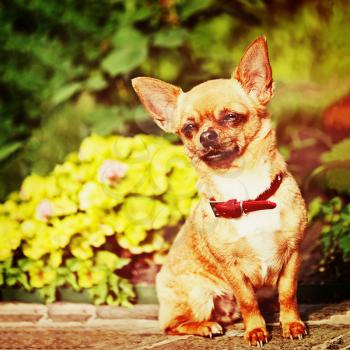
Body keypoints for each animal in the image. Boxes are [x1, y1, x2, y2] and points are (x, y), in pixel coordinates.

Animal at [133, 35, 308, 348]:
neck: (247, 195)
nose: (206, 135)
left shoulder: (292, 255)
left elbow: (288, 294)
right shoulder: (232, 269)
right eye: (189, 128)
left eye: (231, 117)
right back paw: (205, 327)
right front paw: (256, 331)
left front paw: (292, 325)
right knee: (171, 326)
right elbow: (248, 300)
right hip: (198, 294)